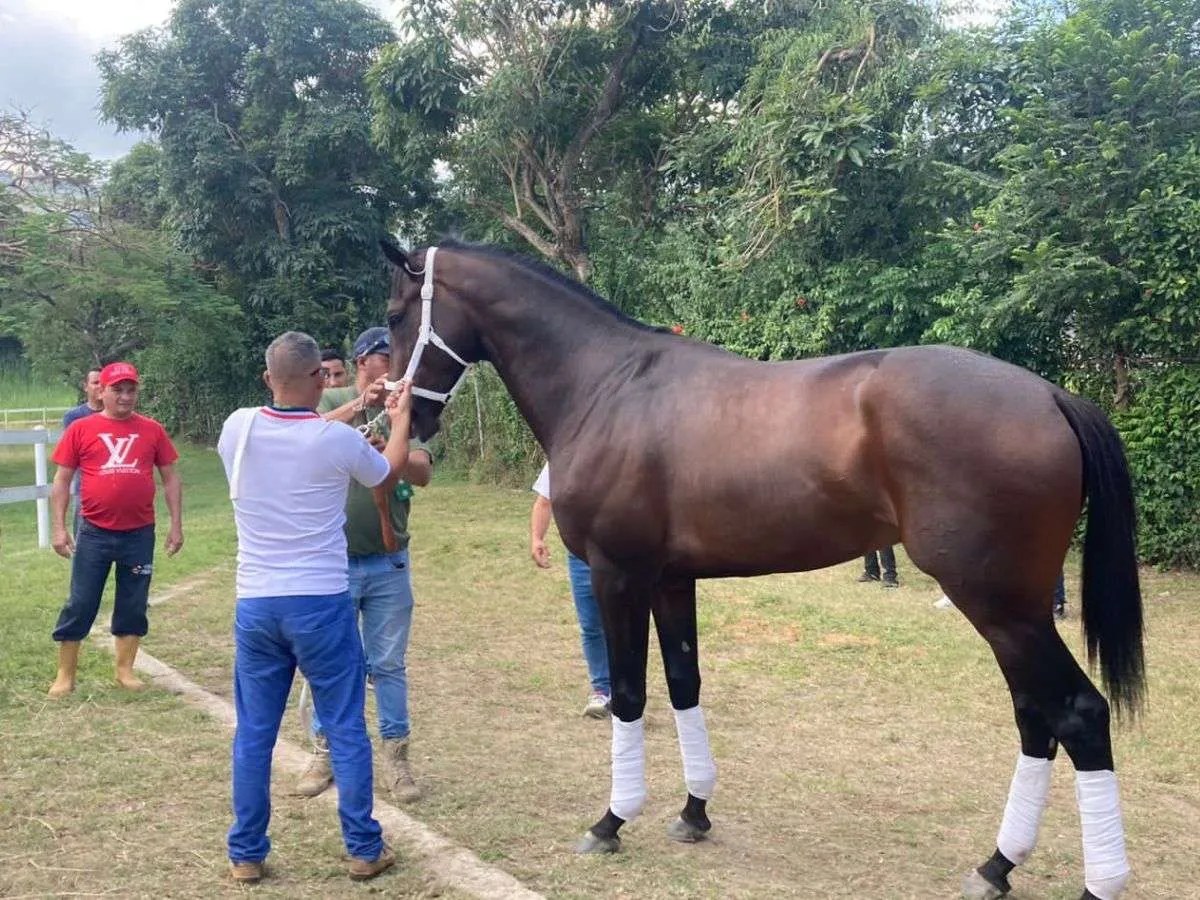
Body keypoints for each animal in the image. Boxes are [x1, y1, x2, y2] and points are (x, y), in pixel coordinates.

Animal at [381, 241, 1142, 900]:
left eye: (393, 315)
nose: (403, 415)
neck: (607, 384)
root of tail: (1051, 397)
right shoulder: (669, 579)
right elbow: (684, 684)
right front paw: (693, 811)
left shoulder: (617, 574)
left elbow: (629, 694)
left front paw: (611, 821)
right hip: (1012, 611)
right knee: (1035, 718)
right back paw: (997, 867)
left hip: (1001, 607)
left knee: (1077, 714)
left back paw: (1090, 881)